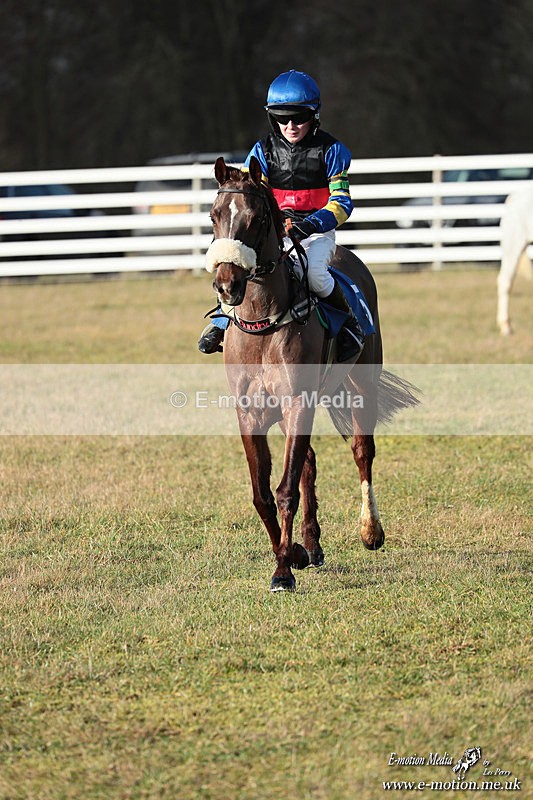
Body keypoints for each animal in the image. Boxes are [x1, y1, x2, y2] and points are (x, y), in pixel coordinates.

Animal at [206, 155, 418, 592]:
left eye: (256, 218)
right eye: (215, 215)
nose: (226, 284)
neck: (263, 324)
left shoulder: (298, 403)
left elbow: (285, 490)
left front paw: (283, 570)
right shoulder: (249, 413)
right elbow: (263, 495)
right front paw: (293, 553)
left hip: (362, 382)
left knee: (362, 450)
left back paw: (370, 531)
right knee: (310, 463)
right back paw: (312, 545)